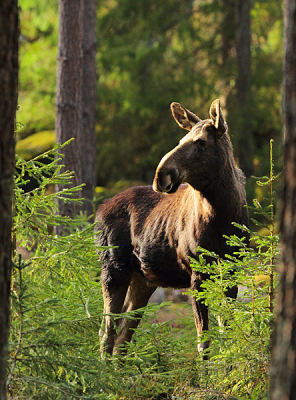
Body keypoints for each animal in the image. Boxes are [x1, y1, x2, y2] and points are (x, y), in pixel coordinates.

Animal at [95, 100, 250, 356]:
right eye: (181, 139)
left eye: (201, 142)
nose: (161, 175)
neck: (223, 218)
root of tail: (99, 211)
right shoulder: (197, 271)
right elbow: (203, 342)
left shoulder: (230, 269)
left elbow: (226, 333)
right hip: (112, 268)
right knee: (107, 332)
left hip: (142, 280)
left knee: (123, 335)